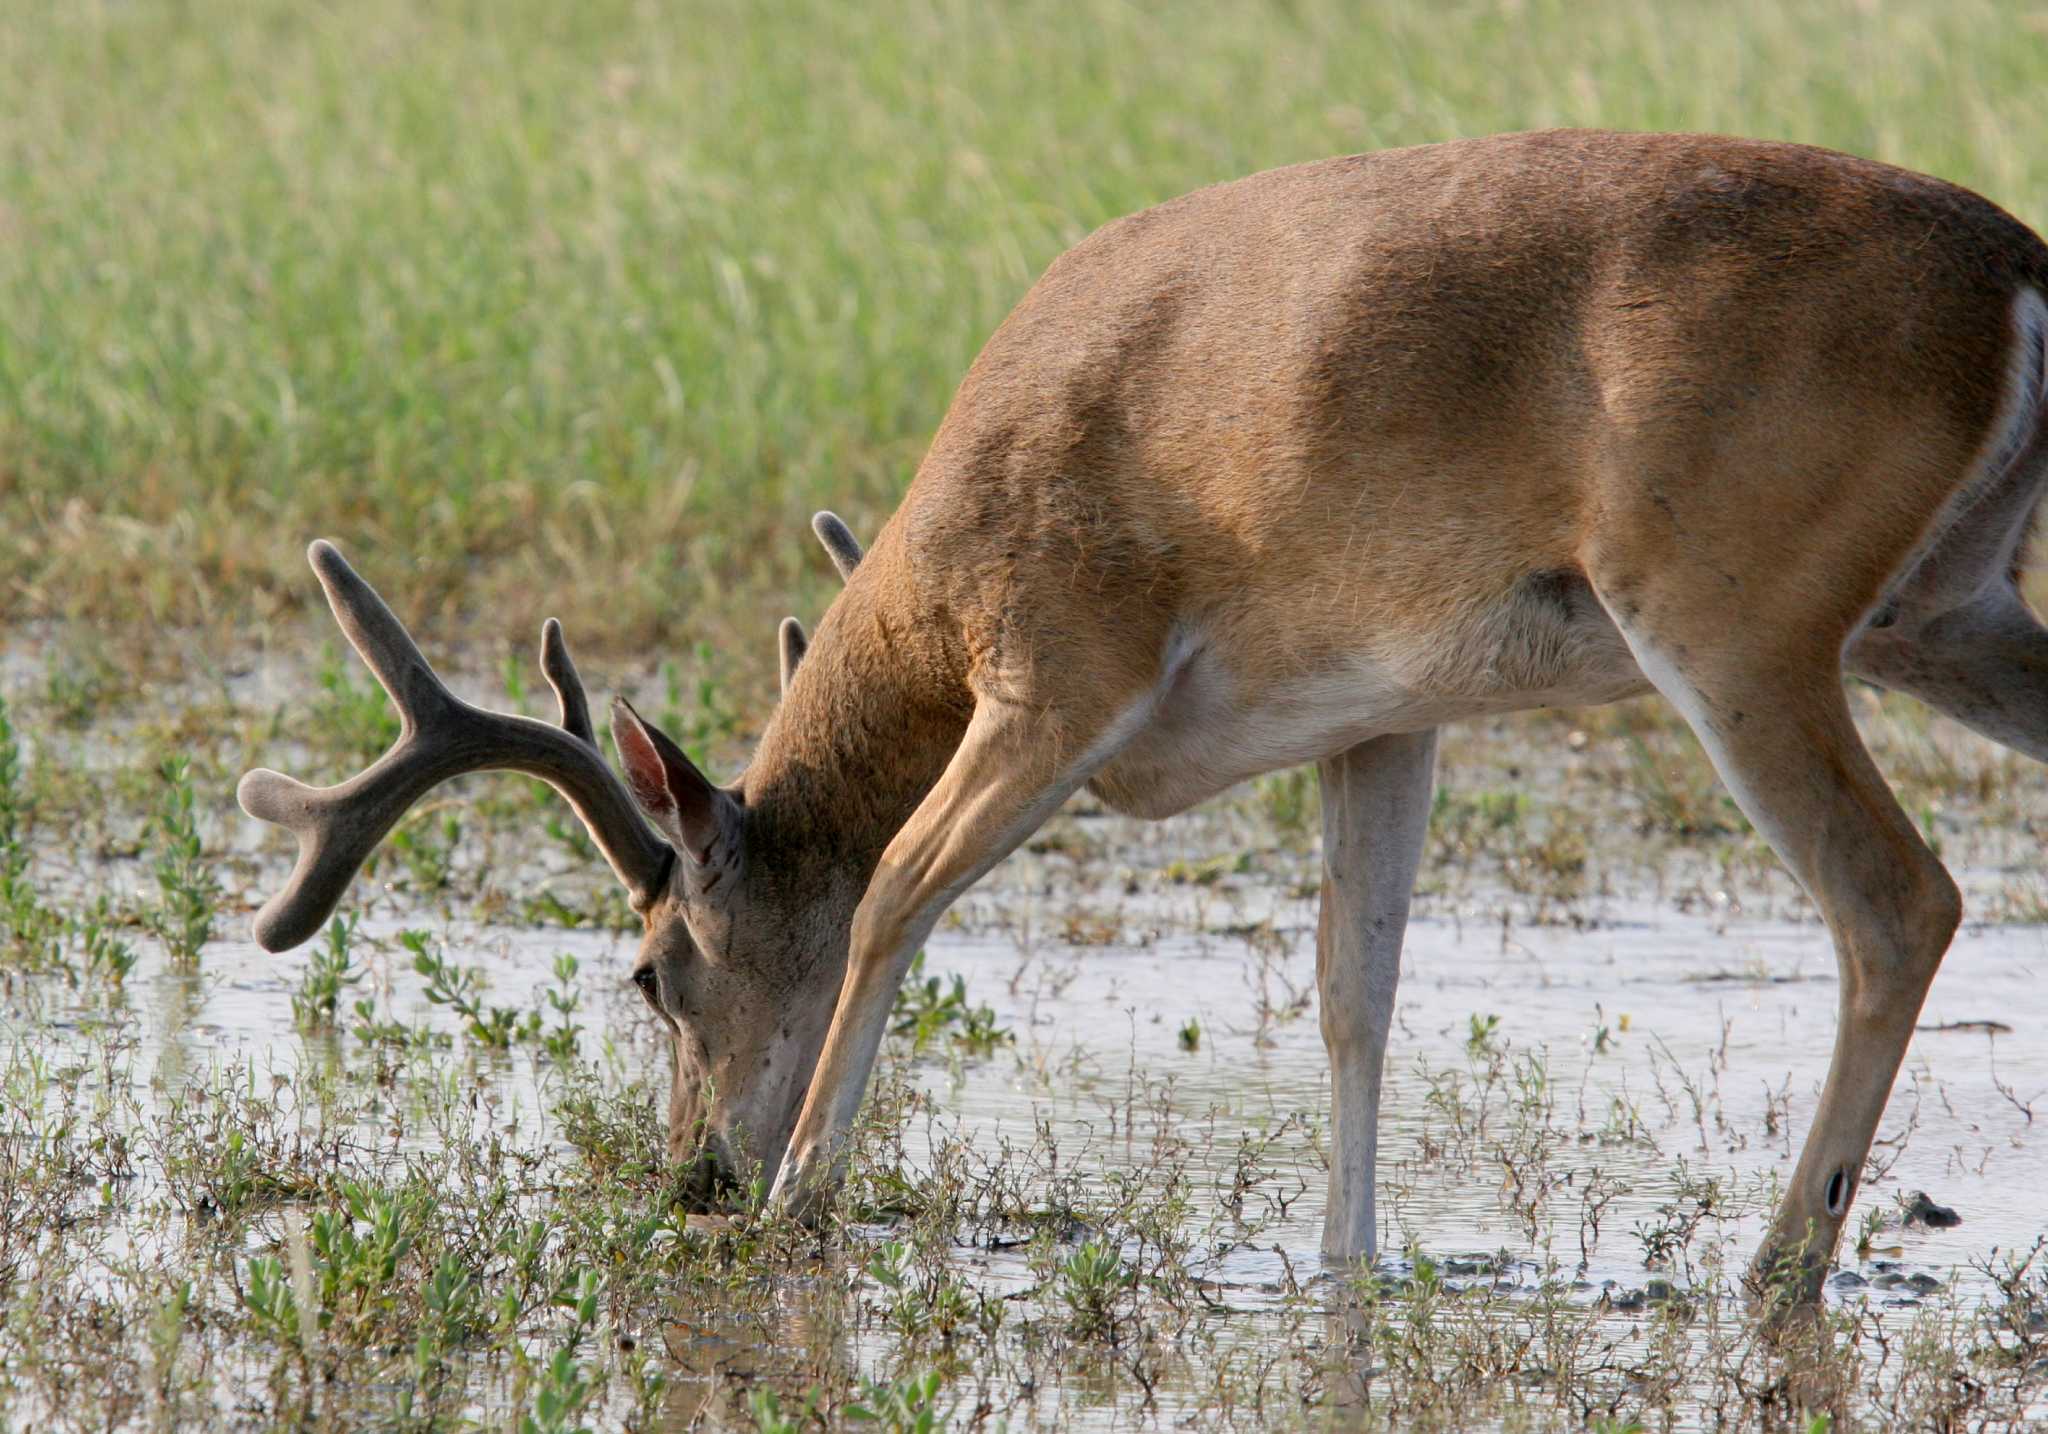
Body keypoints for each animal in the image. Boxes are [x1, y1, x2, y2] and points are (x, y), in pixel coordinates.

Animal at [239, 129, 2048, 1305]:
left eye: (648, 964)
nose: (691, 1176)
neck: (943, 550)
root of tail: (2019, 273)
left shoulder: (1058, 664)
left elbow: (894, 892)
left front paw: (803, 1204)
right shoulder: (1385, 714)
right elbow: (1353, 990)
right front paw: (1344, 1261)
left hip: (1738, 616)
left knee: (1901, 896)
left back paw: (1777, 1266)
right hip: (1947, 616)